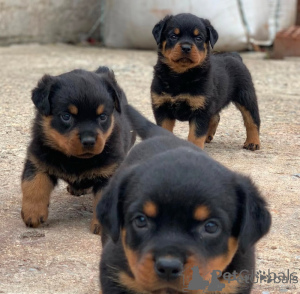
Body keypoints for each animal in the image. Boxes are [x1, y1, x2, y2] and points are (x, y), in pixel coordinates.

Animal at [22, 66, 136, 234]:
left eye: (102, 116)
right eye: (66, 116)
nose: (88, 141)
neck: (77, 160)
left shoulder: (111, 170)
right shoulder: (37, 158)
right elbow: (33, 185)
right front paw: (33, 213)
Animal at [151, 13, 262, 152]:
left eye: (199, 38)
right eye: (173, 36)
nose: (186, 47)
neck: (181, 76)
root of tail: (235, 55)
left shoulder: (201, 110)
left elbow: (196, 135)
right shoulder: (162, 107)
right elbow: (164, 130)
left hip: (246, 96)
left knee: (252, 120)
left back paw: (253, 142)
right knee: (215, 117)